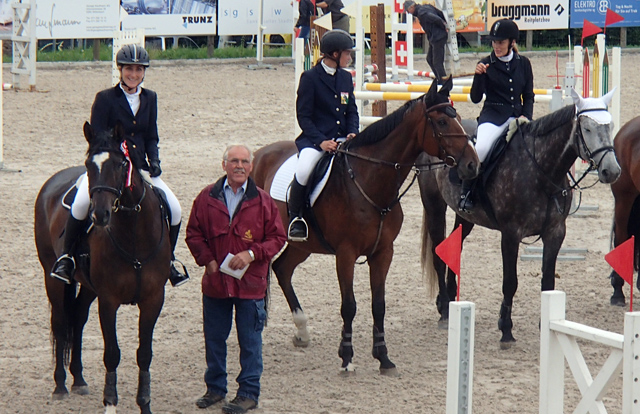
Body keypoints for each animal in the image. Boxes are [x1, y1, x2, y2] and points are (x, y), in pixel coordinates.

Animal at [34, 122, 170, 414]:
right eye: (89, 164)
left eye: (121, 164)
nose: (99, 215)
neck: (134, 233)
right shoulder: (109, 300)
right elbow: (112, 354)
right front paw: (110, 404)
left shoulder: (153, 299)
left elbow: (145, 354)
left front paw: (145, 404)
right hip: (53, 275)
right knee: (60, 321)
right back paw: (60, 386)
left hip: (88, 286)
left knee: (78, 317)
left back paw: (79, 380)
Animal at [252, 78, 478, 376]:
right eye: (441, 121)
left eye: (460, 119)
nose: (473, 165)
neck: (369, 182)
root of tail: (259, 154)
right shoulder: (346, 254)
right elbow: (349, 306)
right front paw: (347, 357)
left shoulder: (383, 252)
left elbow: (378, 305)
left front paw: (383, 357)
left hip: (304, 245)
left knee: (282, 268)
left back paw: (302, 331)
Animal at [420, 88, 620, 350]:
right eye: (586, 129)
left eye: (611, 126)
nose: (612, 171)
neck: (542, 171)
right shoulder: (511, 234)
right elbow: (510, 282)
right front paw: (505, 329)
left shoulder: (556, 232)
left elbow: (548, 281)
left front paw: (547, 326)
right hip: (434, 205)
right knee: (437, 252)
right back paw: (444, 309)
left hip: (465, 217)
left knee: (454, 246)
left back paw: (452, 299)